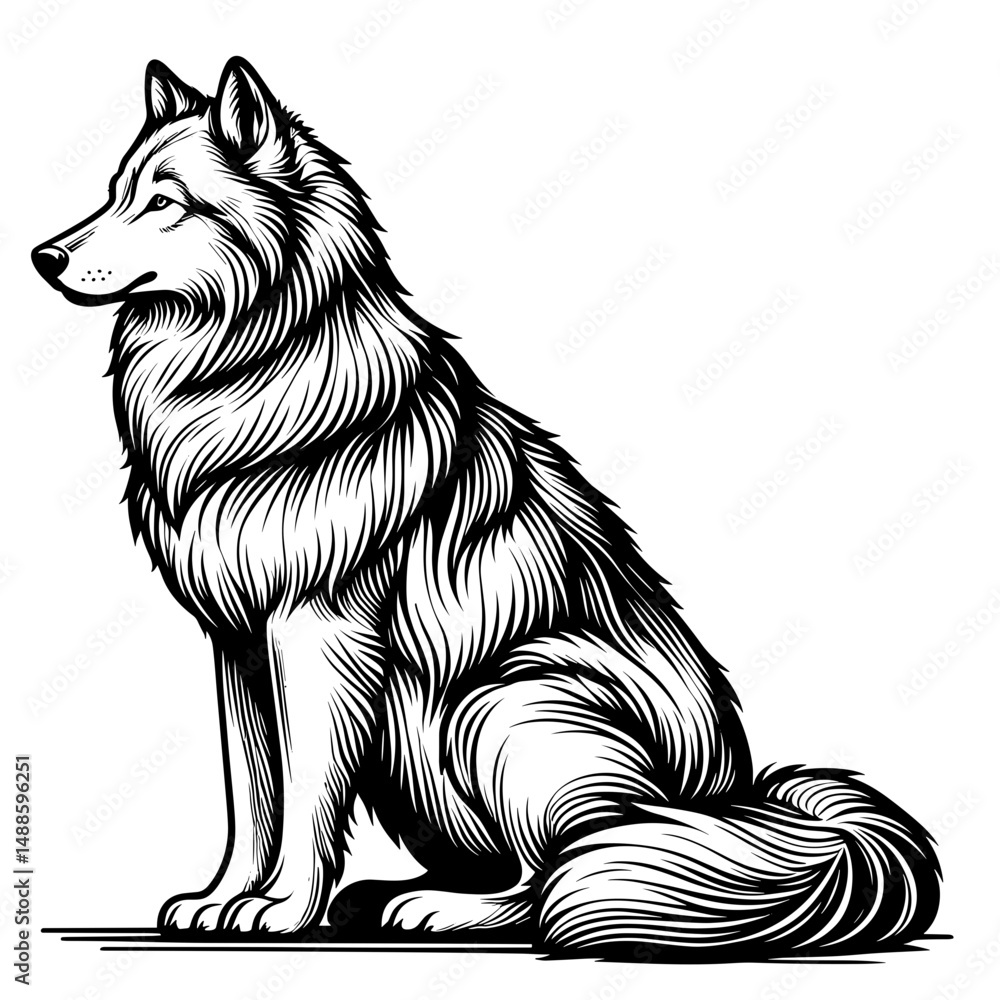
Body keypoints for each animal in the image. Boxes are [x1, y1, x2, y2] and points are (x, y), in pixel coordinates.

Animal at [32, 57, 940, 957]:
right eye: (114, 193)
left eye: (164, 201)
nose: (43, 256)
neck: (252, 365)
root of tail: (732, 802)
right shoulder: (240, 645)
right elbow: (254, 797)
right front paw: (223, 896)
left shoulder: (318, 633)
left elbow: (308, 793)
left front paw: (282, 909)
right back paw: (391, 894)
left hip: (502, 703)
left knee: (556, 872)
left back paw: (439, 908)